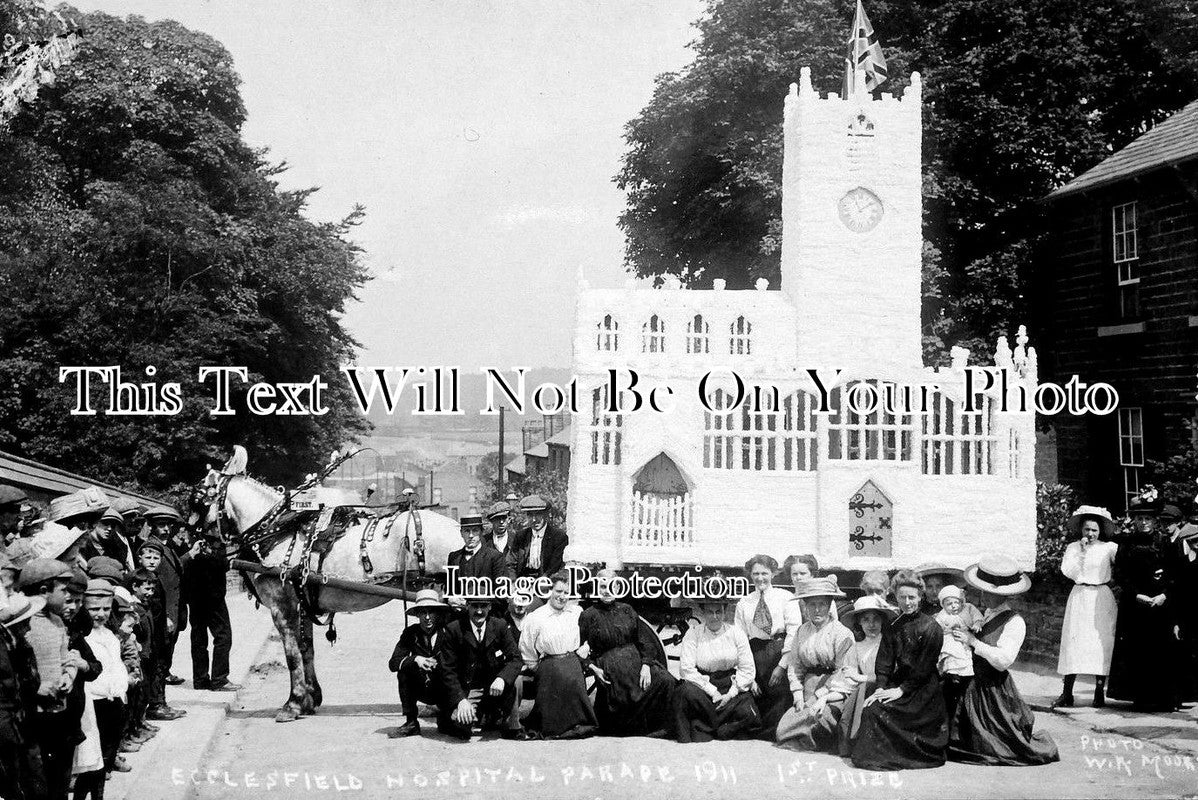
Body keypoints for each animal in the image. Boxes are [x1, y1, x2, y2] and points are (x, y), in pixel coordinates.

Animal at [194, 447, 460, 723]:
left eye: (198, 498)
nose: (197, 542)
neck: (278, 531)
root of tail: (457, 527)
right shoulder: (302, 603)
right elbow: (306, 649)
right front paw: (311, 699)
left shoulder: (282, 606)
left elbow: (292, 654)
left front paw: (293, 703)